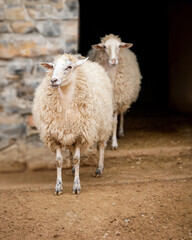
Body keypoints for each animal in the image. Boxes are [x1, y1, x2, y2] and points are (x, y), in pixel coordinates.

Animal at [32, 53, 114, 194]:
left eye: (69, 67)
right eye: (53, 67)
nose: (53, 80)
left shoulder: (80, 136)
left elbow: (77, 159)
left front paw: (76, 186)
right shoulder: (56, 136)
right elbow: (59, 161)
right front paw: (58, 186)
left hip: (103, 125)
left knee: (101, 145)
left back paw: (99, 169)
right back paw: (75, 170)